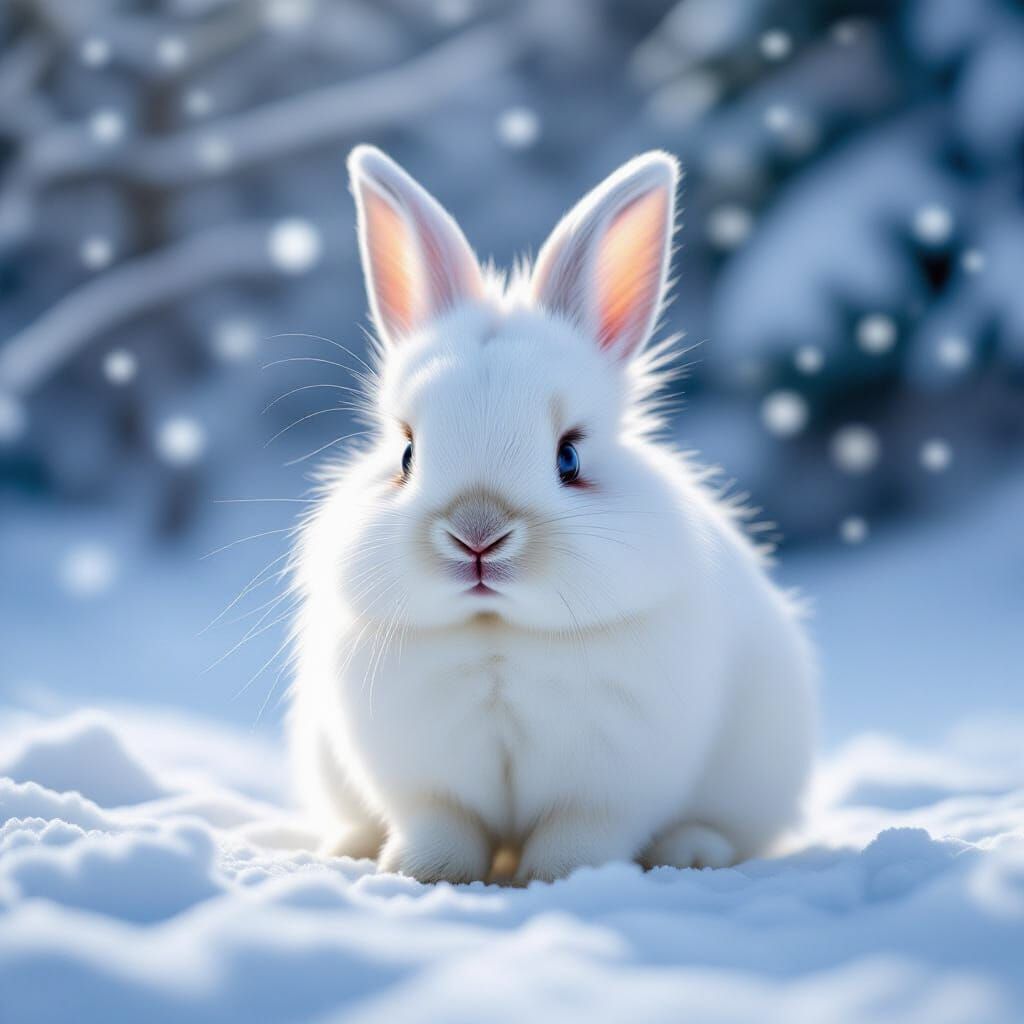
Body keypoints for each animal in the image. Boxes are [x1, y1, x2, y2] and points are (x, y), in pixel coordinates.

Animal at [286, 145, 817, 884]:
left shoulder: (608, 785)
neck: (498, 634)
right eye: (406, 453)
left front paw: (560, 877)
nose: (477, 536)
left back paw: (692, 851)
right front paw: (425, 872)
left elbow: (580, 832)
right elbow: (442, 825)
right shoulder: (425, 780)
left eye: (569, 456)